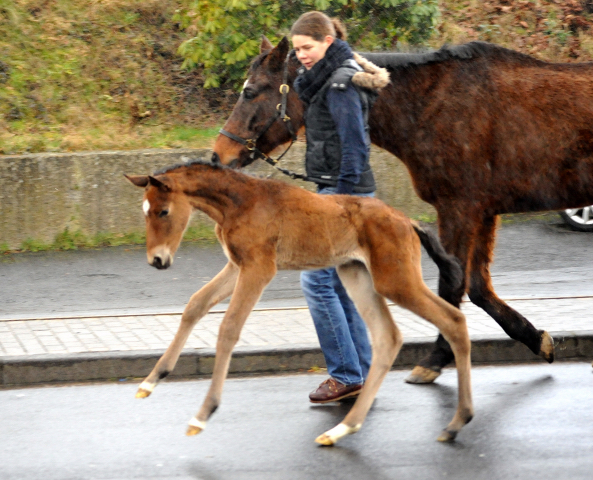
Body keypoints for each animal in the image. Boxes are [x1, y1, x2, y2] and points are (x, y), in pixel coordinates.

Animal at [125, 161, 472, 446]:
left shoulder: (259, 268)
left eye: (163, 212)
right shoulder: (237, 266)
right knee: (388, 336)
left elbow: (229, 327)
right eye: (144, 211)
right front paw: (151, 381)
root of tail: (407, 220)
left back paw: (456, 423)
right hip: (355, 273)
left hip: (395, 280)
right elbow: (195, 305)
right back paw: (342, 429)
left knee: (453, 320)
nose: (157, 260)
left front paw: (202, 415)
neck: (239, 203)